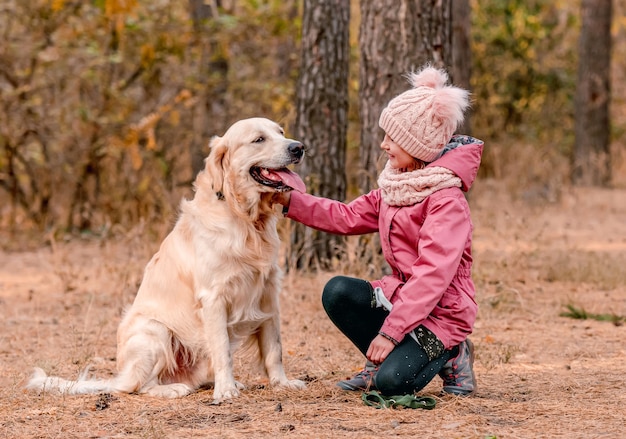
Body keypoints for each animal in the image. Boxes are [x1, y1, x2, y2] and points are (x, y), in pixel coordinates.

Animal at [28, 117, 306, 402]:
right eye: (258, 139)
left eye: (281, 132)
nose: (298, 147)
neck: (245, 219)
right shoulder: (213, 298)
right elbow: (223, 350)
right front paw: (226, 389)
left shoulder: (268, 292)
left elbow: (274, 349)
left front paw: (282, 383)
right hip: (155, 330)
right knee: (139, 385)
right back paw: (174, 388)